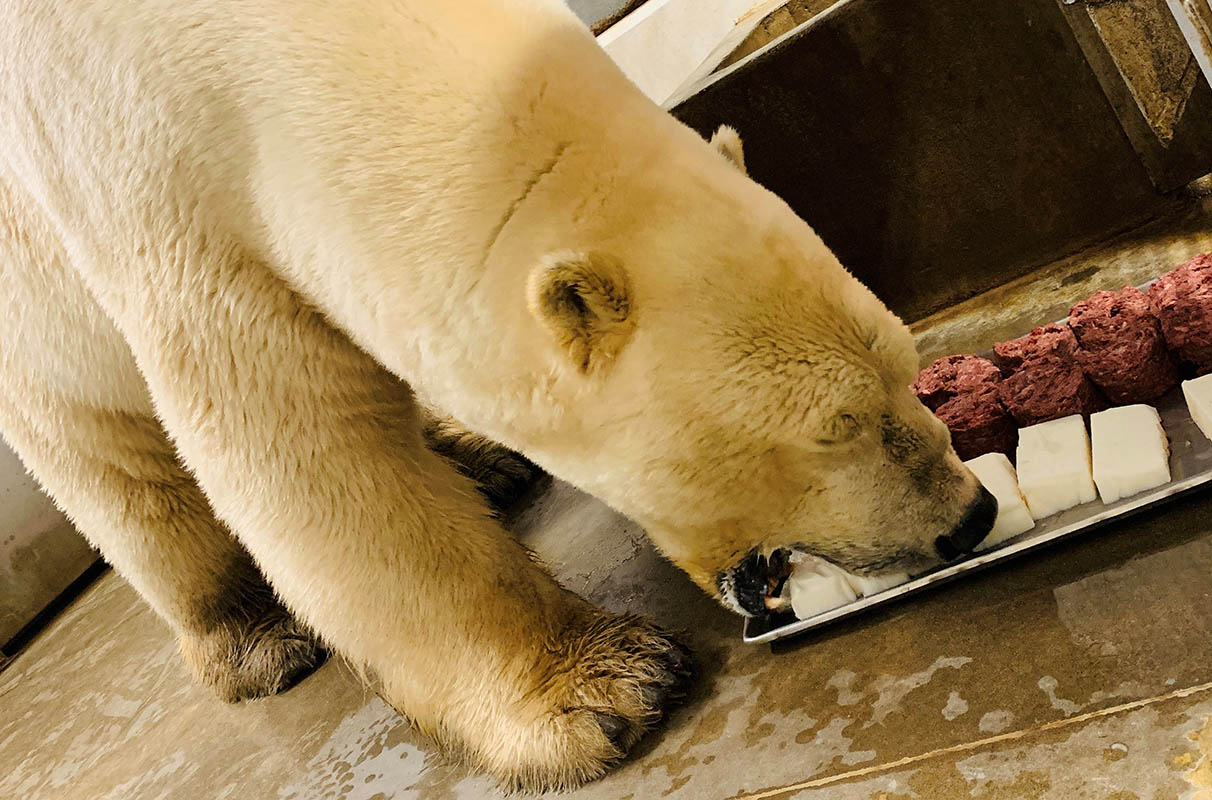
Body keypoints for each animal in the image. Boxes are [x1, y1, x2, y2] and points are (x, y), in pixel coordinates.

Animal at [0, 0, 995, 791]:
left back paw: (482, 460)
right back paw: (254, 637)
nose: (971, 516)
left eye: (904, 366)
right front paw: (600, 690)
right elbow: (304, 459)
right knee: (106, 457)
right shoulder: (161, 203)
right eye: (835, 428)